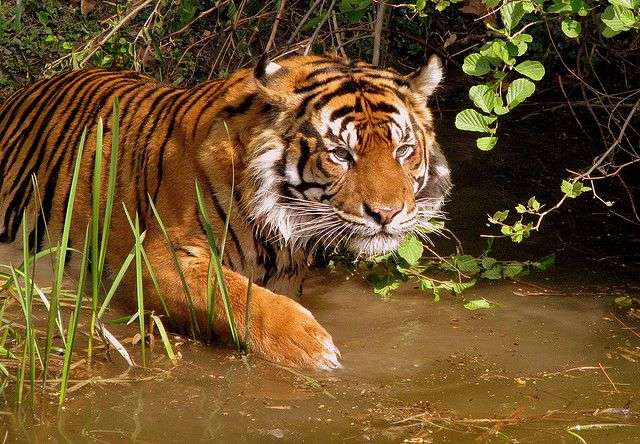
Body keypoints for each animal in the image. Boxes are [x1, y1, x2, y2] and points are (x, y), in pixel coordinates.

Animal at [0, 53, 451, 369]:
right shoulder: (150, 258)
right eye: (341, 154)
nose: (387, 214)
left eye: (403, 150)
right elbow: (235, 292)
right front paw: (311, 346)